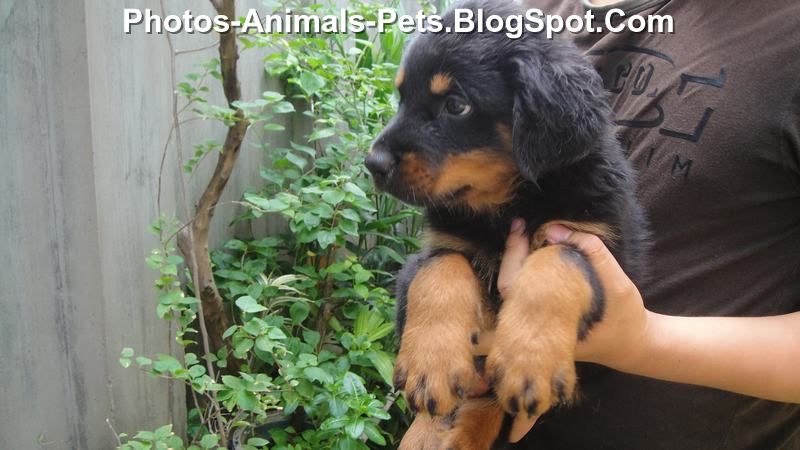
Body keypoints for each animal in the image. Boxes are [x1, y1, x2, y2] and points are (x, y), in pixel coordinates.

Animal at [366, 0, 648, 446]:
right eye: (402, 98)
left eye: (456, 105)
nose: (372, 164)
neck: (509, 205)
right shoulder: (430, 254)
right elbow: (441, 268)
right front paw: (431, 365)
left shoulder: (604, 250)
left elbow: (558, 260)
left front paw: (528, 359)